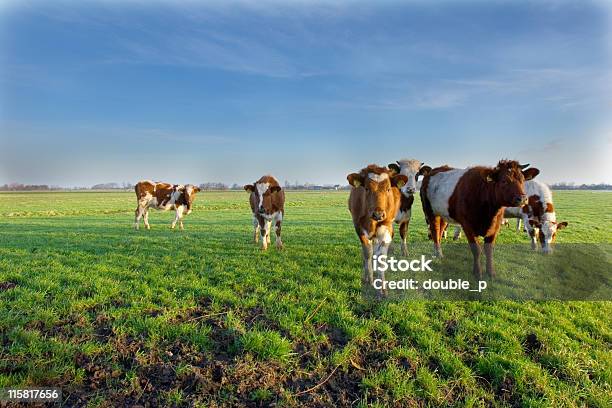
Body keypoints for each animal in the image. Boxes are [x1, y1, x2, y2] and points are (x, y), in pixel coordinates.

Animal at [350, 164, 406, 294]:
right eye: (366, 188)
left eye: (388, 189)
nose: (378, 214)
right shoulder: (359, 228)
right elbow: (367, 254)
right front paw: (369, 278)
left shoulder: (386, 228)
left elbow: (381, 256)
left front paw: (382, 288)